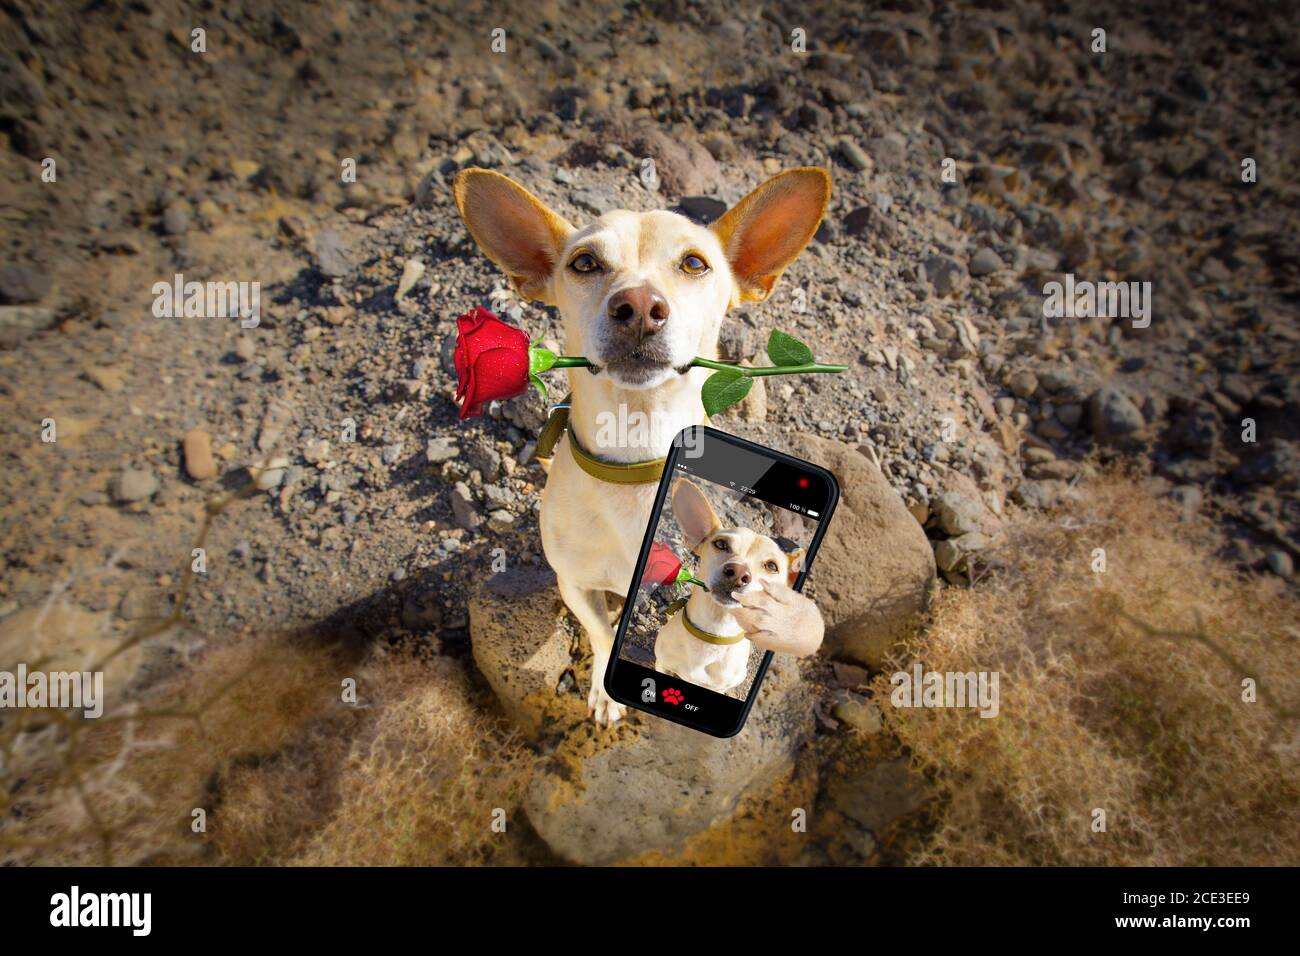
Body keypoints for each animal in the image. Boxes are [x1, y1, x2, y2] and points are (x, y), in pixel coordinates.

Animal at [650, 478, 800, 697]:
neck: (713, 633)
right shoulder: (662, 664)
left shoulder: (718, 687)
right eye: (720, 544)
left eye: (772, 566)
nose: (738, 572)